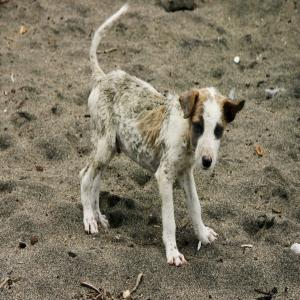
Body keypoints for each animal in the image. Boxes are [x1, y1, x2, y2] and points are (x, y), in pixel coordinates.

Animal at [79, 4, 244, 266]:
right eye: (198, 125)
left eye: (218, 129)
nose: (207, 161)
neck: (186, 138)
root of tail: (103, 77)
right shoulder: (164, 176)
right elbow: (170, 219)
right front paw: (173, 252)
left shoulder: (186, 173)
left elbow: (196, 206)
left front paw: (203, 235)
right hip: (104, 147)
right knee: (85, 177)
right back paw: (88, 219)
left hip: (110, 148)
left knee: (94, 180)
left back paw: (99, 217)